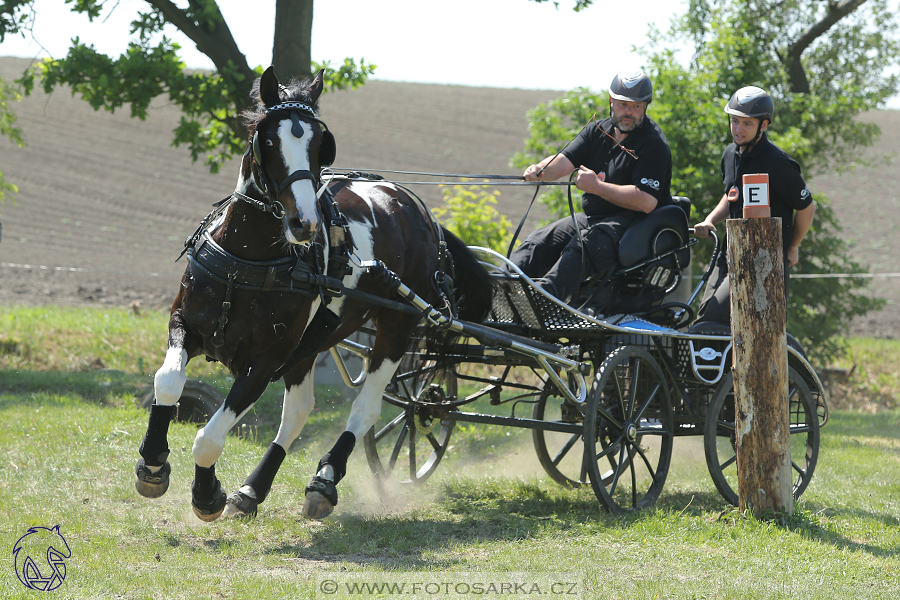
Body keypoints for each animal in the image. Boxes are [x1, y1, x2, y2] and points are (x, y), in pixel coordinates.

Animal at [134, 65, 492, 520]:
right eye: (269, 140)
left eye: (322, 145)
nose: (304, 223)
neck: (247, 259)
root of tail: (417, 211)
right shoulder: (186, 325)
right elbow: (167, 381)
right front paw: (153, 464)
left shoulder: (266, 361)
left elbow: (209, 437)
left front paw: (207, 493)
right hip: (311, 343)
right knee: (300, 411)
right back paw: (252, 491)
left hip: (396, 327)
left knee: (365, 408)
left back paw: (325, 480)